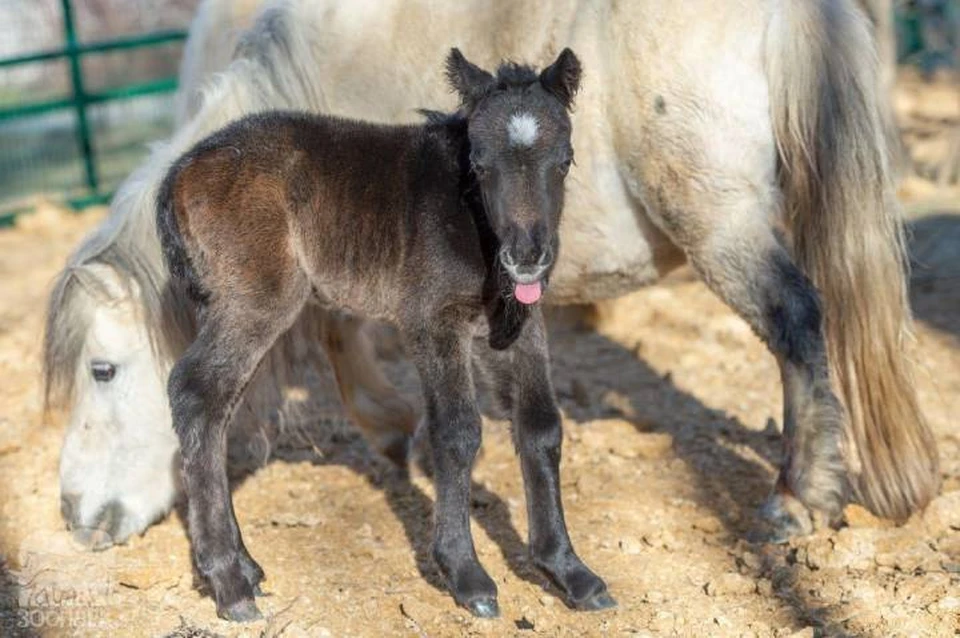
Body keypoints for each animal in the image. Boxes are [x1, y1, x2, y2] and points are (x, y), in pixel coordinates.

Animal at [45, 0, 936, 552]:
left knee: (798, 320)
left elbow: (339, 327)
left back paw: (798, 496)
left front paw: (395, 430)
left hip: (719, 222)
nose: (74, 515)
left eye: (103, 370)